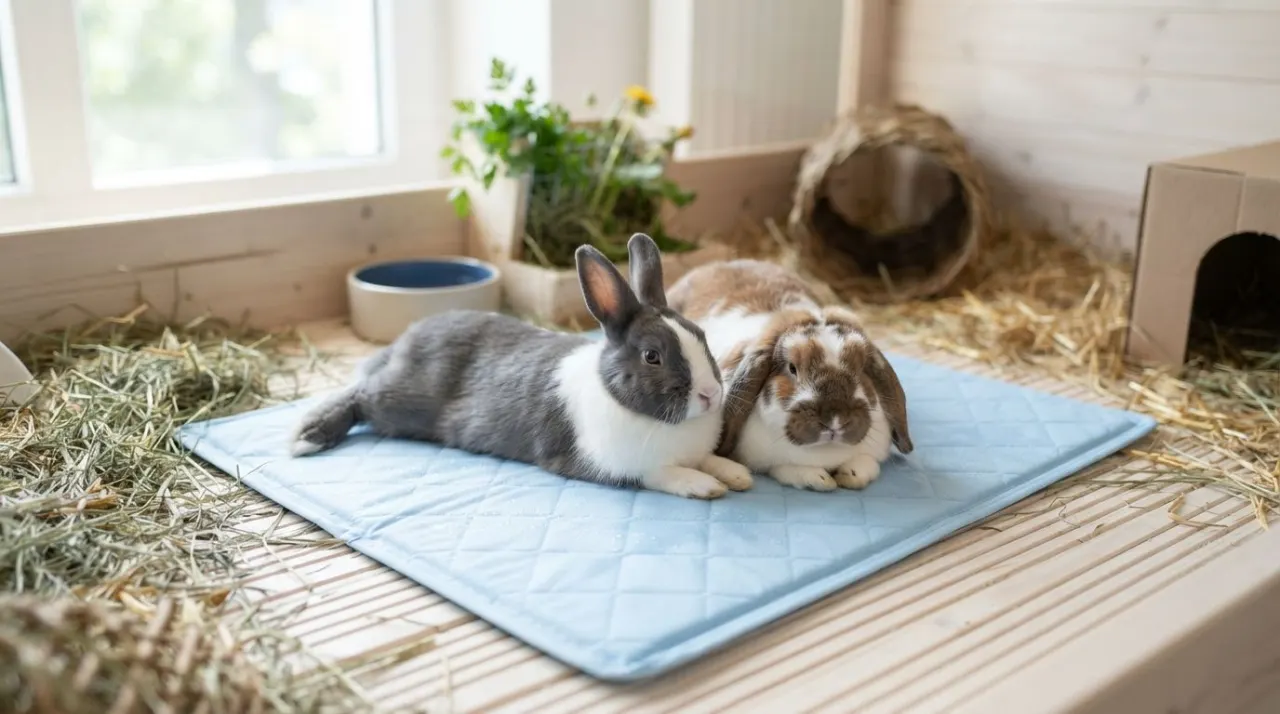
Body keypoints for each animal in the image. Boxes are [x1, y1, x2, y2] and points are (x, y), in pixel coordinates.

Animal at [289, 233, 754, 500]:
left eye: (701, 335)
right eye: (652, 356)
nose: (711, 395)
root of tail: (406, 339)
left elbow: (707, 460)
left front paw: (736, 474)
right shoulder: (613, 466)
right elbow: (663, 473)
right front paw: (703, 486)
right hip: (400, 400)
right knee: (360, 395)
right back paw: (307, 436)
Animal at [667, 258, 913, 492]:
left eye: (861, 368)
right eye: (792, 368)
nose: (835, 420)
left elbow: (865, 463)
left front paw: (852, 474)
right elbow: (789, 468)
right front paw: (818, 478)